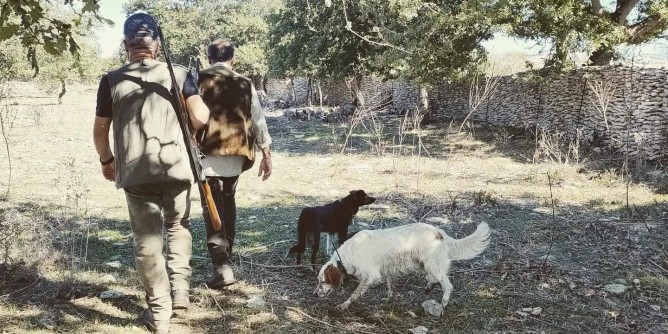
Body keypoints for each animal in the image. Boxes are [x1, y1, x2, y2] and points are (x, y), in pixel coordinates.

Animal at [316, 222, 488, 310]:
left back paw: (443, 303)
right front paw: (389, 298)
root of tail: (439, 231)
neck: (346, 256)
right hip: (424, 263)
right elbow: (390, 285)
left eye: (323, 282)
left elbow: (354, 293)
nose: (315, 293)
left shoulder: (371, 275)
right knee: (434, 278)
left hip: (432, 264)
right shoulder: (387, 268)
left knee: (447, 284)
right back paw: (429, 286)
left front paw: (344, 305)